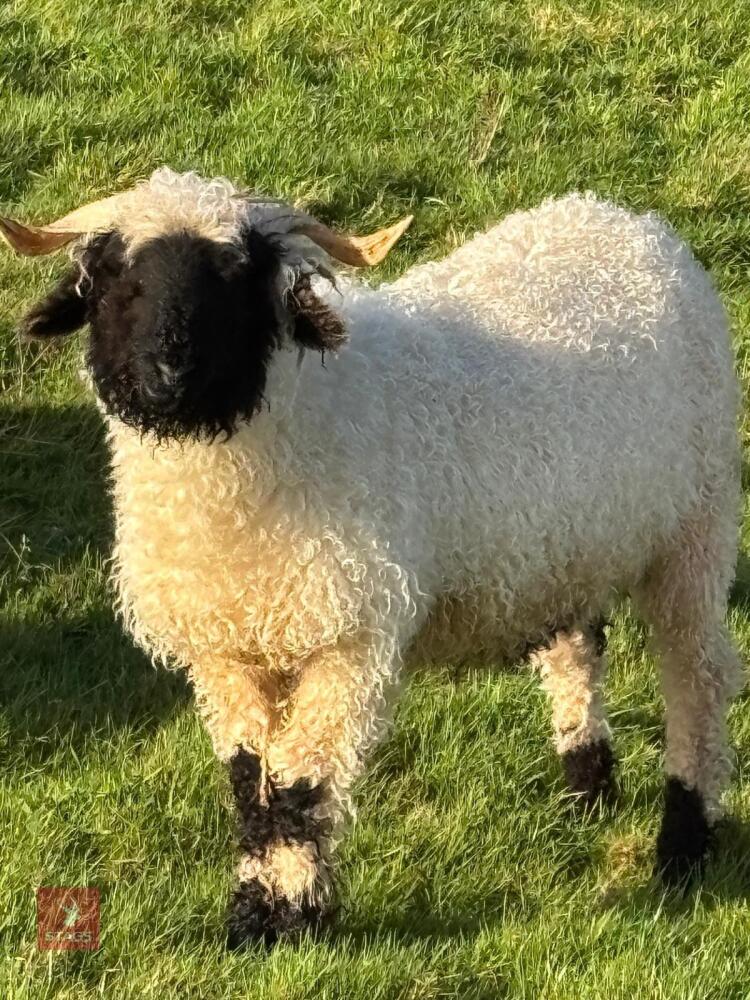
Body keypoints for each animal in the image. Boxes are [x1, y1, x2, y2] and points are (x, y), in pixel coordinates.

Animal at [2, 167, 743, 948]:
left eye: (235, 277)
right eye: (117, 279)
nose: (168, 374)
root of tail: (622, 221)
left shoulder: (349, 637)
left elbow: (299, 786)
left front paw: (294, 921)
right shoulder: (227, 649)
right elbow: (251, 785)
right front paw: (252, 918)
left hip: (696, 524)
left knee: (697, 678)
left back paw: (683, 844)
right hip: (569, 545)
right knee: (577, 647)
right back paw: (587, 791)